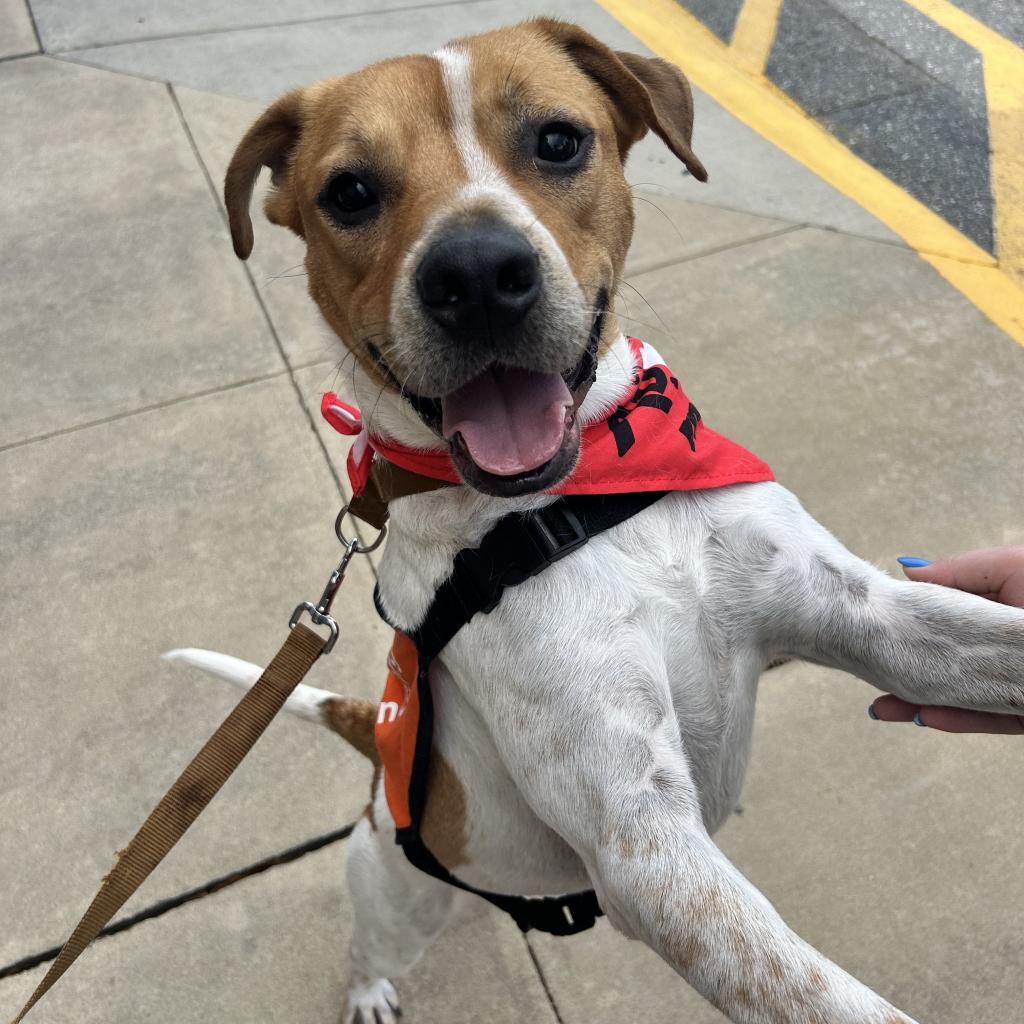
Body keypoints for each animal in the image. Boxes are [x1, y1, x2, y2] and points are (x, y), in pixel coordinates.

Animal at [165, 18, 1024, 1024]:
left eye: (558, 140)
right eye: (350, 191)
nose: (476, 274)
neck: (581, 503)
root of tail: (379, 742)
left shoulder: (863, 611)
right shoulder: (640, 838)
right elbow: (822, 996)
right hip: (398, 892)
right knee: (370, 942)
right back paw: (371, 989)